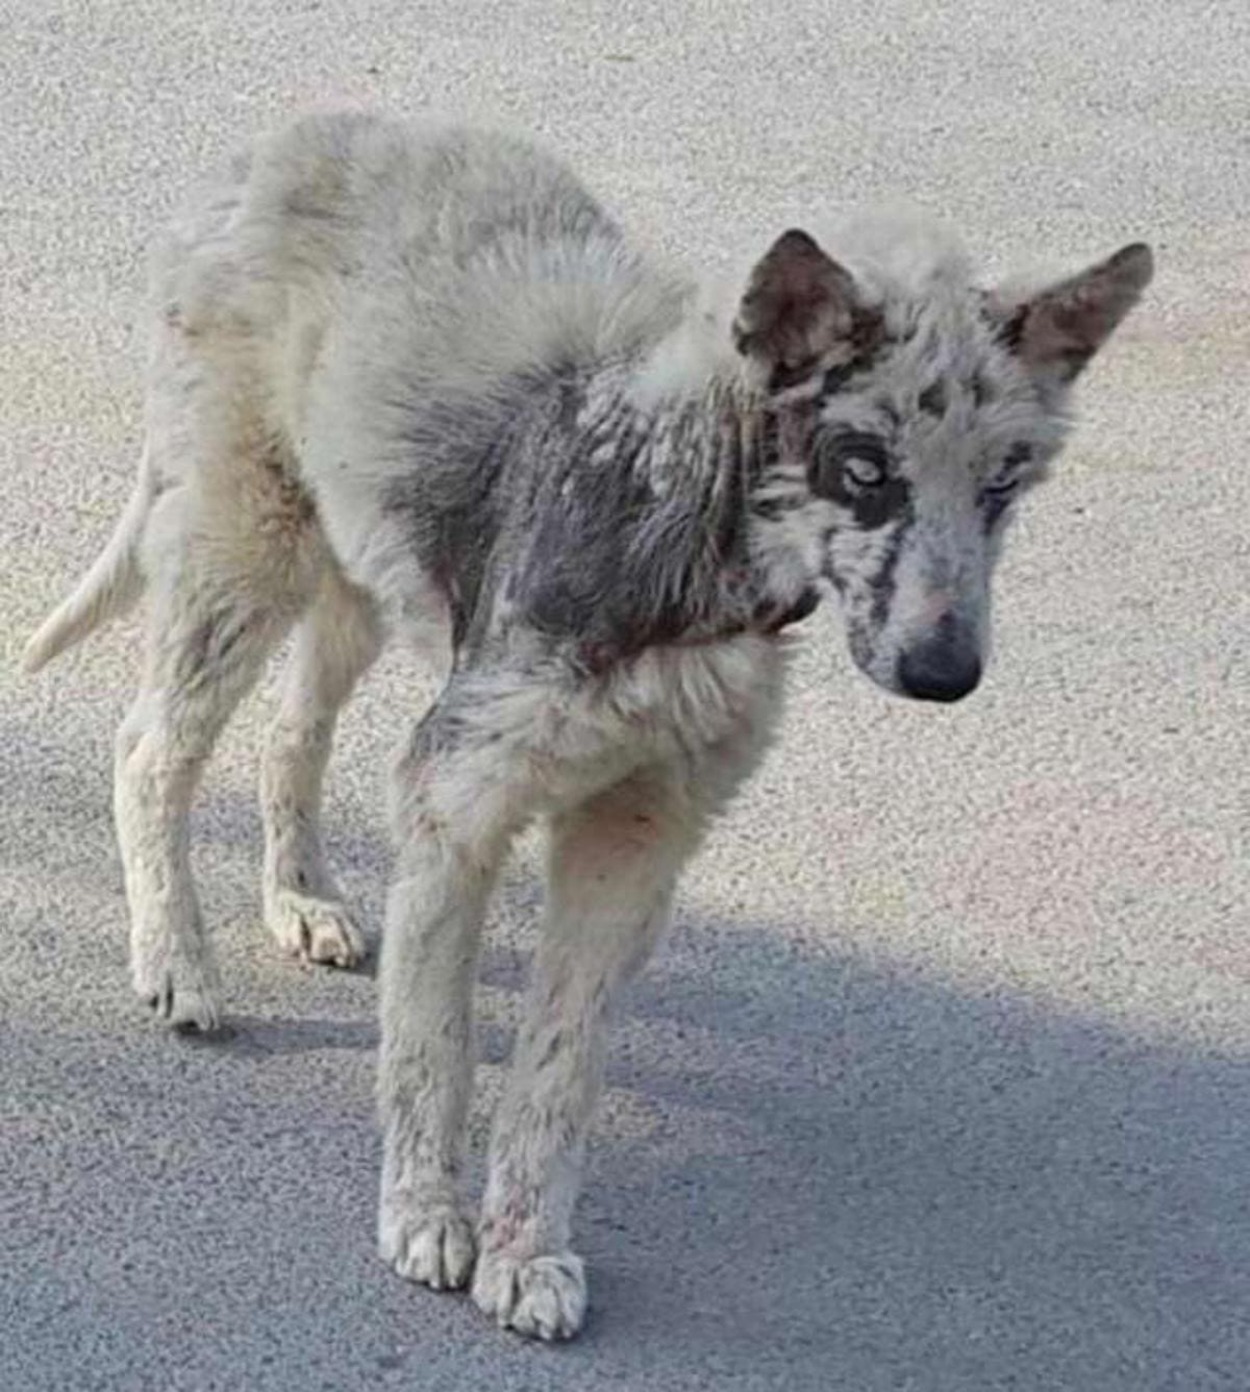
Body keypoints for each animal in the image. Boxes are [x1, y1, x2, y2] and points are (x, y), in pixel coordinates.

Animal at [21, 111, 1146, 1336]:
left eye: (1003, 486)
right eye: (861, 469)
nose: (945, 675)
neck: (673, 519)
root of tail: (302, 134)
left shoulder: (633, 840)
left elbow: (557, 1071)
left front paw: (525, 1250)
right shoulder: (458, 800)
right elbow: (436, 1045)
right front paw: (426, 1216)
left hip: (359, 567)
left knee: (292, 734)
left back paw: (301, 900)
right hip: (245, 546)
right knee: (150, 748)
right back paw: (174, 958)